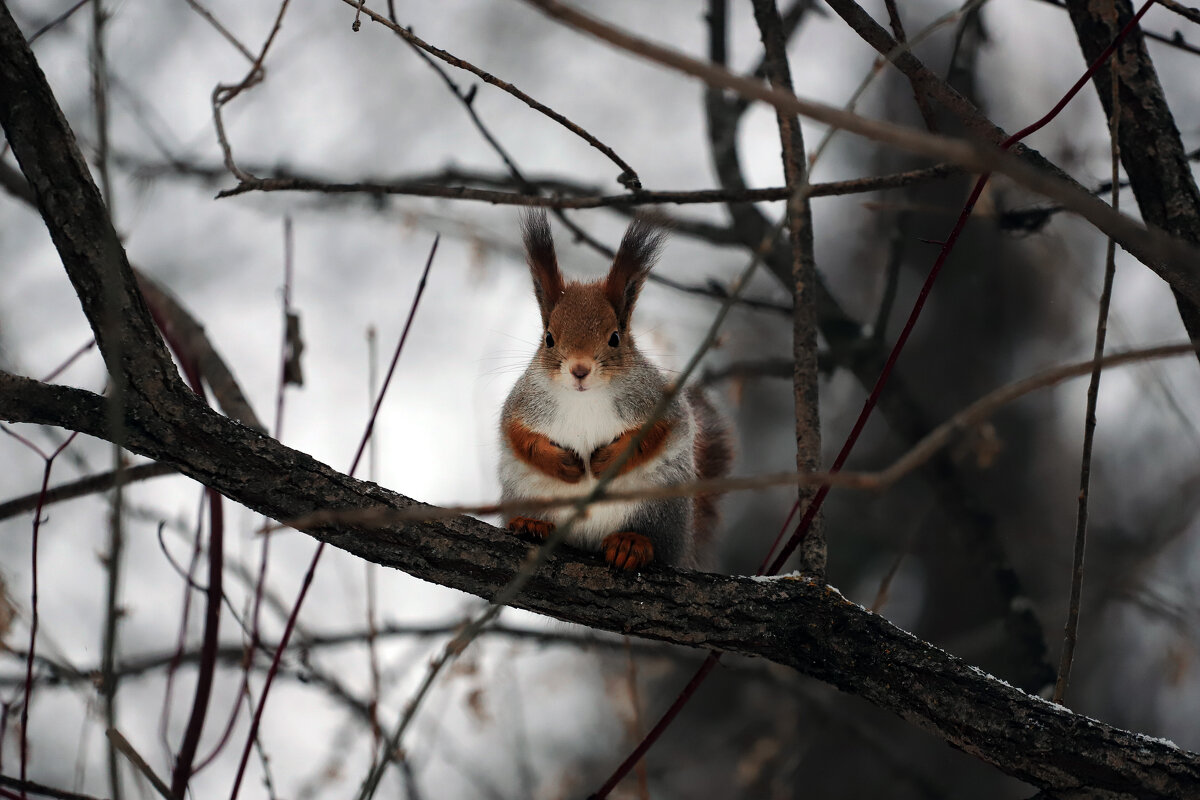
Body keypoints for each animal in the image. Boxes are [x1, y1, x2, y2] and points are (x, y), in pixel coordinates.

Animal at [496, 209, 729, 573]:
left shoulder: (656, 400)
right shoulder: (524, 403)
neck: (584, 399)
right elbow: (517, 434)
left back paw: (631, 543)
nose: (579, 369)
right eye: (549, 338)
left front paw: (609, 460)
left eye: (615, 337)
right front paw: (561, 463)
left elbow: (659, 430)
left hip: (661, 508)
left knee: (654, 539)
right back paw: (531, 524)